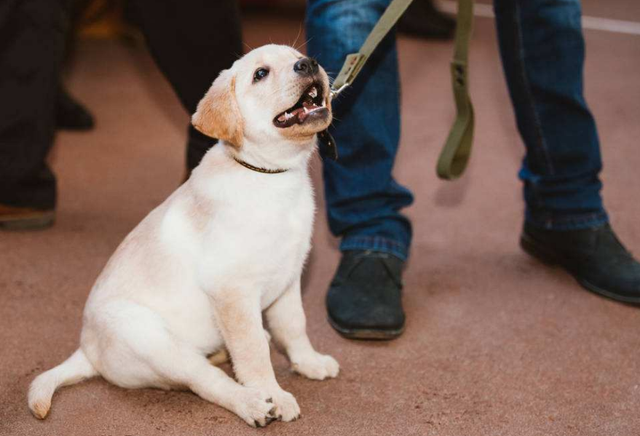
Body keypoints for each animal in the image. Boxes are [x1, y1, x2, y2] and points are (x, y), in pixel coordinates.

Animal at [28, 46, 340, 428]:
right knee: (205, 381)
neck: (269, 176)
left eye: (297, 55)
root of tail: (87, 351)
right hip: (154, 341)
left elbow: (294, 325)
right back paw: (251, 402)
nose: (308, 63)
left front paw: (309, 361)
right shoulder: (232, 291)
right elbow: (253, 352)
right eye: (260, 74)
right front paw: (274, 394)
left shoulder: (288, 278)